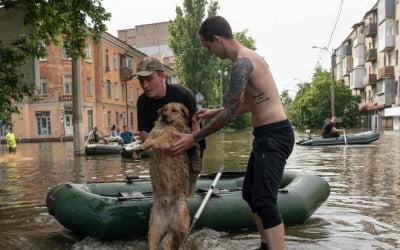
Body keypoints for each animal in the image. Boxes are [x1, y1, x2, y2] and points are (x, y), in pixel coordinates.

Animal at [136, 102, 192, 250]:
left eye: (175, 110)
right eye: (164, 109)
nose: (164, 115)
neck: (164, 126)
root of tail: (169, 224)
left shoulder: (168, 138)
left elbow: (156, 141)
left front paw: (146, 146)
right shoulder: (152, 134)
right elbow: (147, 141)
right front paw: (139, 149)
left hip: (182, 222)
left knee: (181, 244)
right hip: (154, 231)